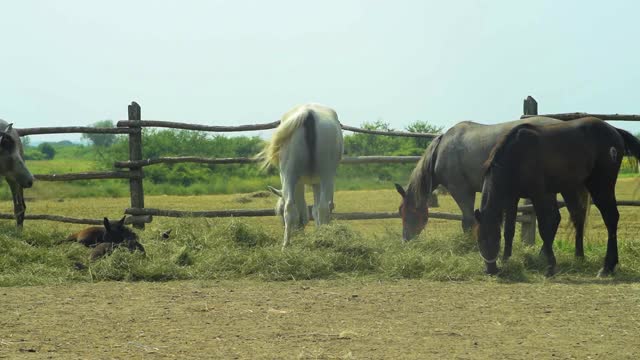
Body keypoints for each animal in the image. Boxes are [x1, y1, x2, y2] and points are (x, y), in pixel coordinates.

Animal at [256, 102, 342, 246]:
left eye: (278, 212)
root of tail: (308, 113)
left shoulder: (302, 183)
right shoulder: (314, 183)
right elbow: (314, 210)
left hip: (290, 174)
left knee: (290, 207)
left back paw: (286, 245)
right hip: (325, 176)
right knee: (322, 207)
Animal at [396, 116, 592, 260]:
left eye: (407, 212)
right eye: (400, 211)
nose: (405, 239)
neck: (440, 150)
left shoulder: (461, 190)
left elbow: (468, 221)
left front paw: (470, 247)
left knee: (555, 217)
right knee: (568, 216)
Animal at [476, 116, 640, 278]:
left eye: (494, 238)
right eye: (479, 239)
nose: (491, 270)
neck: (517, 154)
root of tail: (614, 130)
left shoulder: (539, 195)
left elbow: (544, 227)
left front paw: (550, 267)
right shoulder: (512, 198)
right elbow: (509, 229)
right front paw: (506, 260)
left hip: (601, 186)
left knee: (610, 218)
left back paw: (607, 267)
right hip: (571, 188)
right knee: (578, 216)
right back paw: (580, 258)